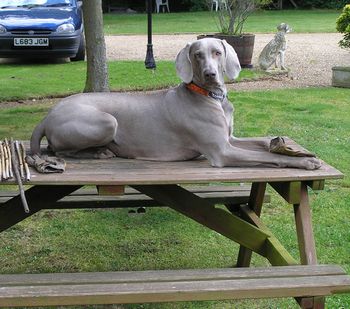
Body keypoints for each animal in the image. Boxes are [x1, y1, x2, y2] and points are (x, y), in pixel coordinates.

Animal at [30, 38, 322, 171]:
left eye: (218, 52)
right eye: (197, 55)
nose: (210, 74)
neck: (212, 97)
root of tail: (48, 115)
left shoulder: (230, 139)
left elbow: (263, 143)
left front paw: (295, 151)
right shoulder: (222, 152)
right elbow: (267, 157)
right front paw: (306, 163)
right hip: (107, 121)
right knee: (58, 150)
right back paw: (99, 153)